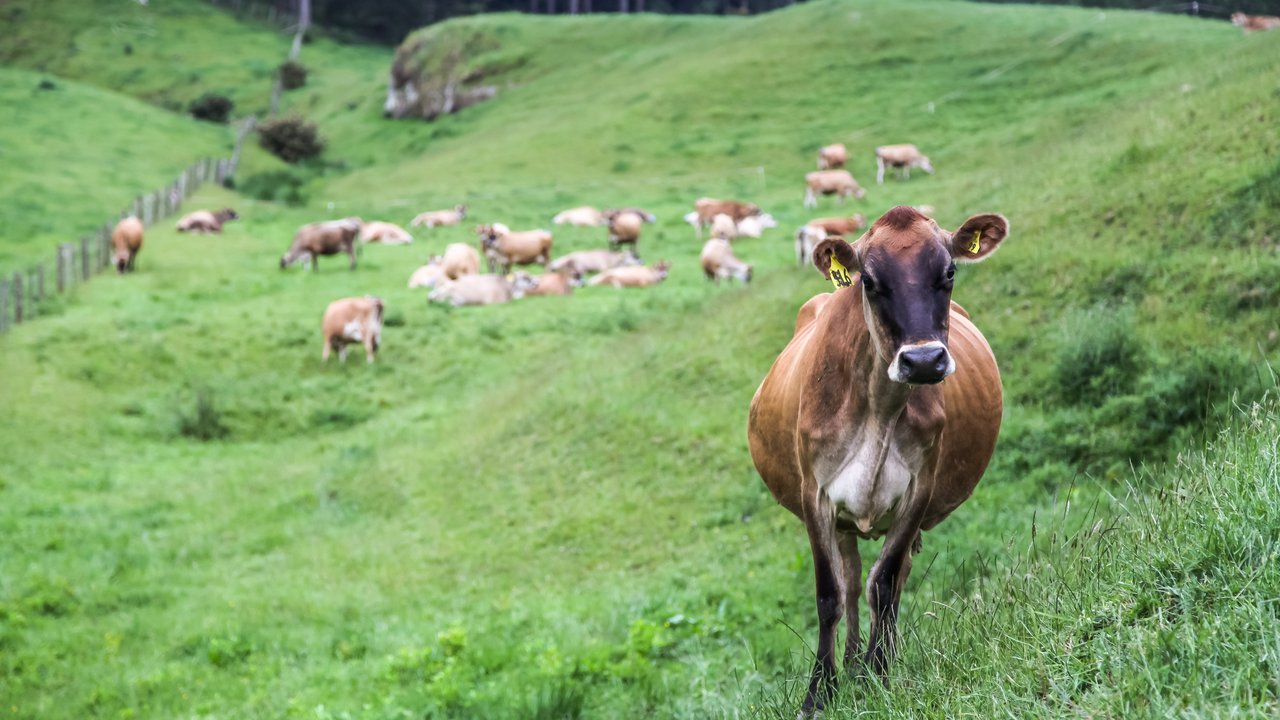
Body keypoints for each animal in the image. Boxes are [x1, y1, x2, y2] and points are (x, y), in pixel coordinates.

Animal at [747, 204, 1008, 707]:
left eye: (949, 272)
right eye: (868, 280)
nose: (923, 361)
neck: (880, 407)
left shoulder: (918, 491)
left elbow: (884, 585)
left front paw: (880, 676)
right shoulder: (816, 496)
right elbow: (829, 595)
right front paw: (820, 693)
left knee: (884, 579)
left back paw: (866, 665)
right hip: (843, 520)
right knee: (850, 583)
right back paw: (849, 664)